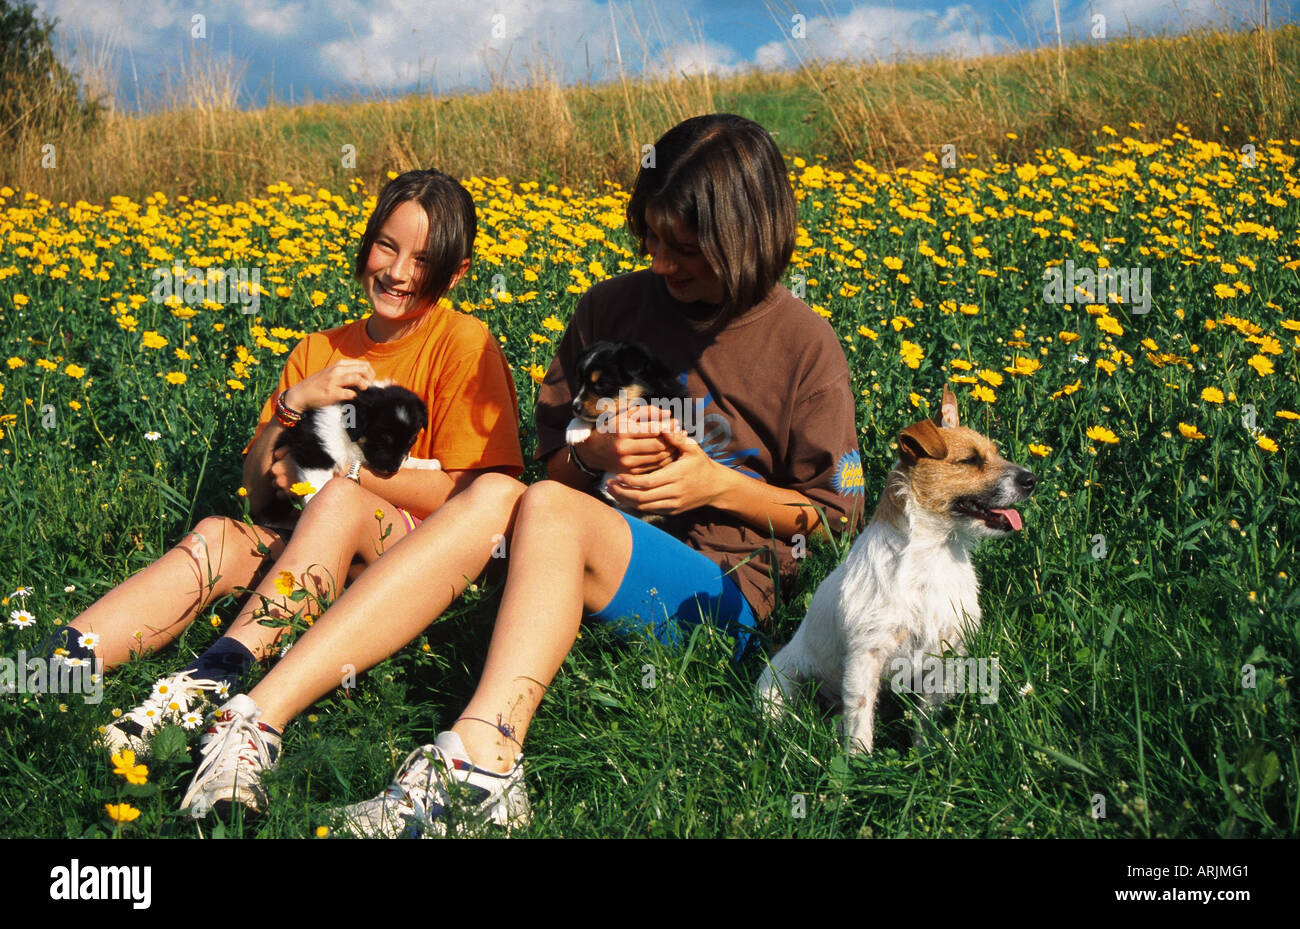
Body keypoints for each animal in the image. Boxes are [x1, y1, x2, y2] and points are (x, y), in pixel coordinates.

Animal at [279, 381, 441, 504]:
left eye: (410, 442)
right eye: (381, 441)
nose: (393, 470)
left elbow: (407, 459)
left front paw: (429, 464)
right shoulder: (315, 451)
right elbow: (317, 485)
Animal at [754, 384, 1034, 753]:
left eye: (995, 453)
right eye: (970, 460)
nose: (1032, 479)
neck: (932, 555)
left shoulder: (947, 656)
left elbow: (926, 718)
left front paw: (924, 755)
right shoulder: (866, 656)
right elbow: (860, 718)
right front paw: (857, 762)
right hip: (776, 688)